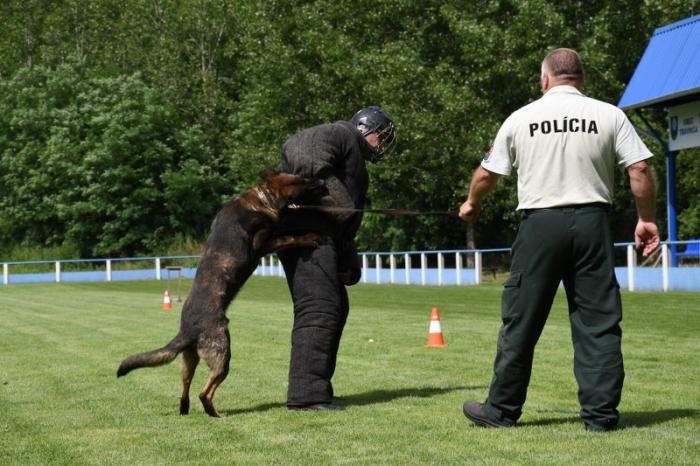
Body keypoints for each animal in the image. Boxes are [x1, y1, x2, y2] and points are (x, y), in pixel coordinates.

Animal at [117, 170, 320, 417]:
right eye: (301, 181)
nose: (321, 181)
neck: (262, 198)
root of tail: (188, 329)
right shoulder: (261, 244)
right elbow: (289, 237)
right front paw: (311, 236)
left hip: (189, 361)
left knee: (185, 386)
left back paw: (186, 410)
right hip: (223, 354)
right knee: (205, 392)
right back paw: (216, 414)